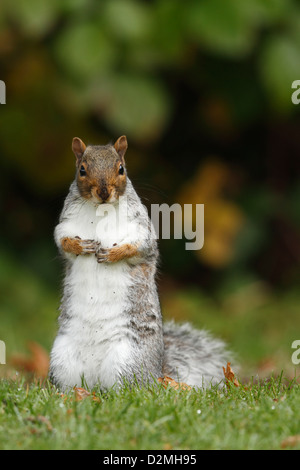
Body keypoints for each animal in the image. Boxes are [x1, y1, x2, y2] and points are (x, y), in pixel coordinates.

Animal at [49, 137, 232, 392]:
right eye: (82, 170)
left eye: (121, 169)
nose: (103, 192)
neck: (100, 210)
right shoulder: (66, 223)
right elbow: (62, 240)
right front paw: (79, 246)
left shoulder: (140, 229)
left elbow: (140, 247)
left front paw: (114, 253)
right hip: (62, 360)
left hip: (128, 359)